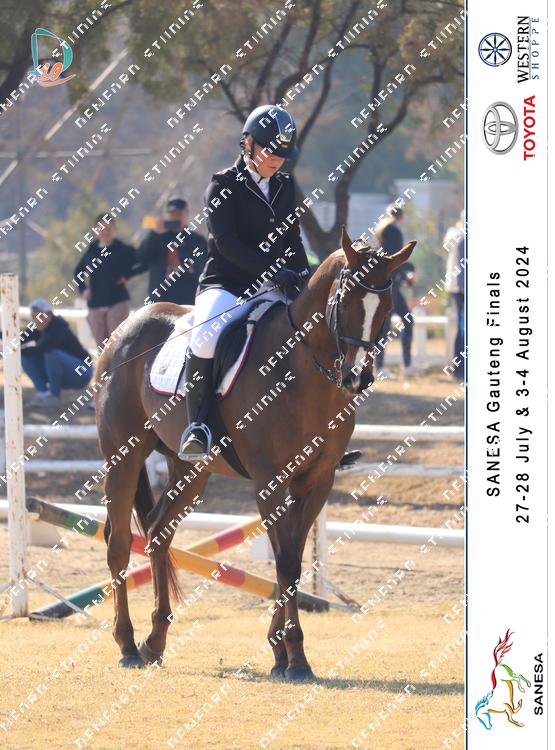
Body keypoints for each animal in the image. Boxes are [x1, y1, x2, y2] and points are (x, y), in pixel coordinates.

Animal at [95, 226, 416, 678]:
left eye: (385, 306)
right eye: (346, 299)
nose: (357, 377)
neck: (302, 370)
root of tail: (125, 330)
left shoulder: (317, 482)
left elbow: (292, 560)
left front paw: (280, 653)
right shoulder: (271, 480)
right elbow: (286, 562)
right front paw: (296, 657)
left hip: (189, 470)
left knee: (158, 533)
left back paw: (155, 641)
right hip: (121, 457)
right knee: (120, 542)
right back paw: (127, 645)